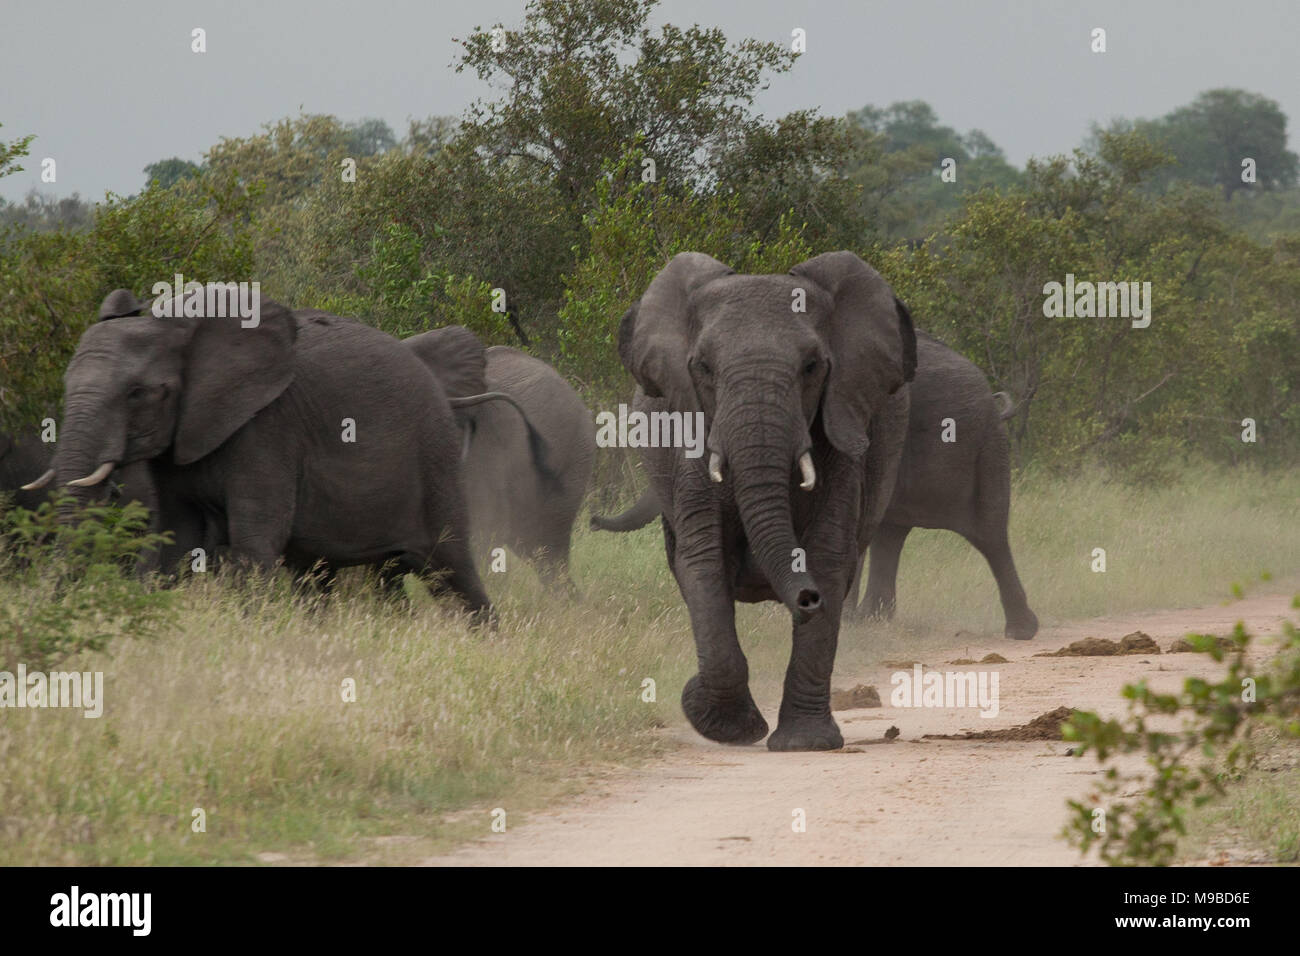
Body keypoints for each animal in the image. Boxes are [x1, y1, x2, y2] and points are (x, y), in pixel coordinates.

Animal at [38, 283, 491, 616]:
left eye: (137, 393)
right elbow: (173, 540)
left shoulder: (268, 428)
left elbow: (255, 543)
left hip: (434, 458)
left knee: (452, 568)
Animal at [616, 251, 915, 749]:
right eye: (703, 367)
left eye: (812, 366)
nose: (807, 599)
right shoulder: (692, 440)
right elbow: (704, 562)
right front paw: (723, 725)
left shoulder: (841, 438)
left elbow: (828, 558)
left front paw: (806, 744)